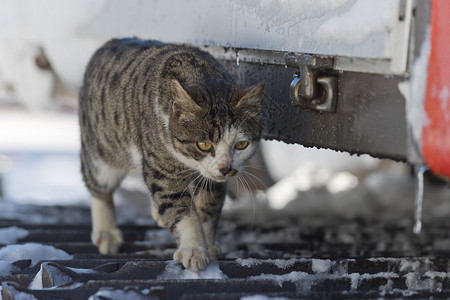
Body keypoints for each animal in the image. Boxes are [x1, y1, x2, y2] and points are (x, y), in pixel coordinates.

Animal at [79, 38, 266, 272]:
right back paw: (107, 233)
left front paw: (208, 245)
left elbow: (207, 207)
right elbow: (180, 207)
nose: (226, 168)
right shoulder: (162, 166)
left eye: (241, 144)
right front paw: (194, 250)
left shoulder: (213, 181)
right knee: (99, 186)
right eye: (203, 144)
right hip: (100, 150)